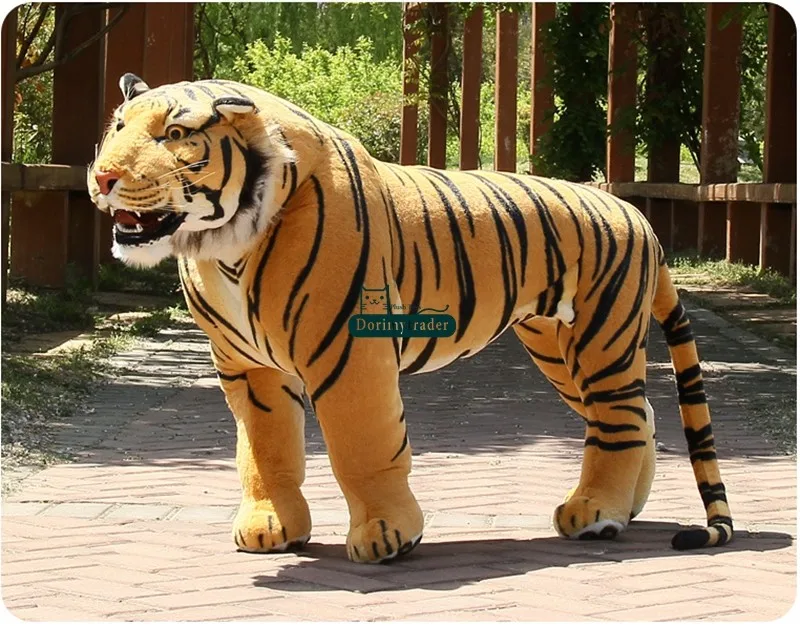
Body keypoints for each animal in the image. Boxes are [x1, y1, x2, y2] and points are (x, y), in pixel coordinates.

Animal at [87, 73, 733, 563]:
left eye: (174, 135)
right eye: (117, 129)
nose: (103, 177)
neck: (223, 243)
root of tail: (637, 215)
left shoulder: (347, 350)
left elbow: (362, 444)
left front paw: (387, 535)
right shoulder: (250, 368)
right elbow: (264, 452)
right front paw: (272, 527)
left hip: (600, 338)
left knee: (622, 417)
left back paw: (596, 513)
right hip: (557, 346)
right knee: (640, 413)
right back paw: (625, 508)